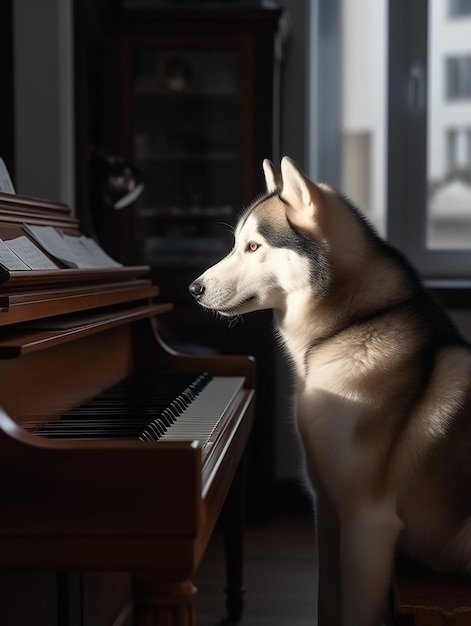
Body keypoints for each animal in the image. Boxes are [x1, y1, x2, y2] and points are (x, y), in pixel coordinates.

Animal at [189, 157, 471, 624]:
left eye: (254, 246)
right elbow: (327, 601)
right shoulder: (328, 508)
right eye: (236, 245)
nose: (192, 289)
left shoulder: (367, 523)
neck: (349, 328)